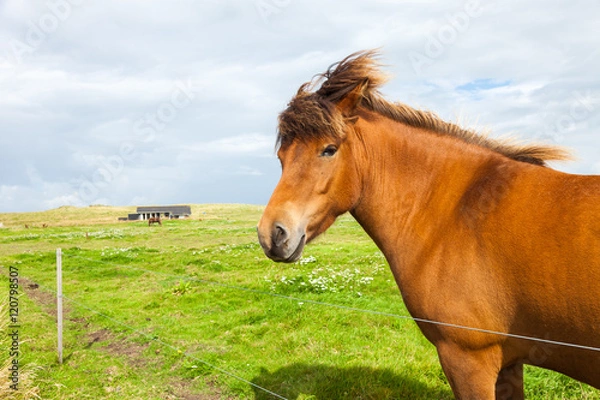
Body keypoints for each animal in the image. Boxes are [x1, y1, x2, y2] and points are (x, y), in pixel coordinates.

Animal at [258, 50, 600, 400]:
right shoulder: (509, 364)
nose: (272, 234)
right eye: (282, 156)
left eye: (329, 149)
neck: (457, 211)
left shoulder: (468, 360)